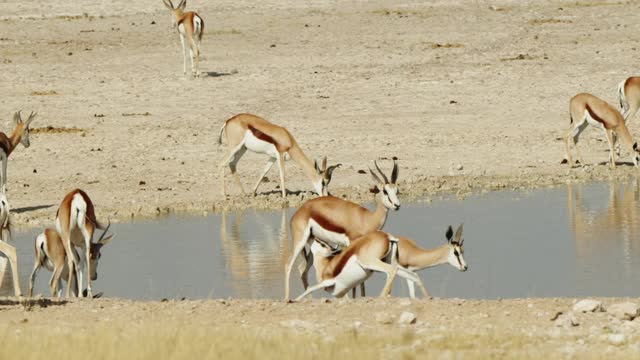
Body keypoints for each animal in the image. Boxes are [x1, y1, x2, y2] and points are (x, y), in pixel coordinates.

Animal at [282, 158, 398, 300]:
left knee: (302, 269)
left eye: (397, 190)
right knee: (288, 265)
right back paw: (287, 299)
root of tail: (300, 211)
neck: (367, 219)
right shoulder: (352, 244)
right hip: (300, 241)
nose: (397, 205)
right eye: (385, 191)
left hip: (312, 245)